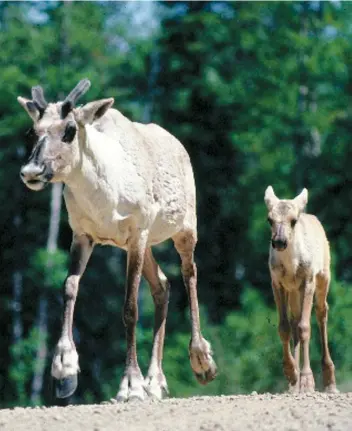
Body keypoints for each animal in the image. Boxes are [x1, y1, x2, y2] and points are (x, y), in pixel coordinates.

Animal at [17, 80, 216, 402]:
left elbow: (130, 307)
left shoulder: (136, 233)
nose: (31, 172)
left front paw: (131, 385)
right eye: (33, 131)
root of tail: (179, 146)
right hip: (145, 244)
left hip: (184, 229)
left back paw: (201, 361)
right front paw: (64, 370)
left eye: (70, 130)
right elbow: (69, 288)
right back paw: (155, 381)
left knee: (189, 274)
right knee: (162, 285)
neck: (102, 193)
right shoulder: (83, 235)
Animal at [266, 186, 336, 394]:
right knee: (295, 319)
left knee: (321, 312)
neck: (291, 266)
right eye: (269, 219)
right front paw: (291, 373)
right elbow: (284, 327)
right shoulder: (277, 283)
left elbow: (305, 327)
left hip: (323, 277)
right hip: (294, 291)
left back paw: (329, 380)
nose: (279, 241)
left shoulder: (308, 280)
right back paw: (294, 384)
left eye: (293, 220)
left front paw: (307, 379)